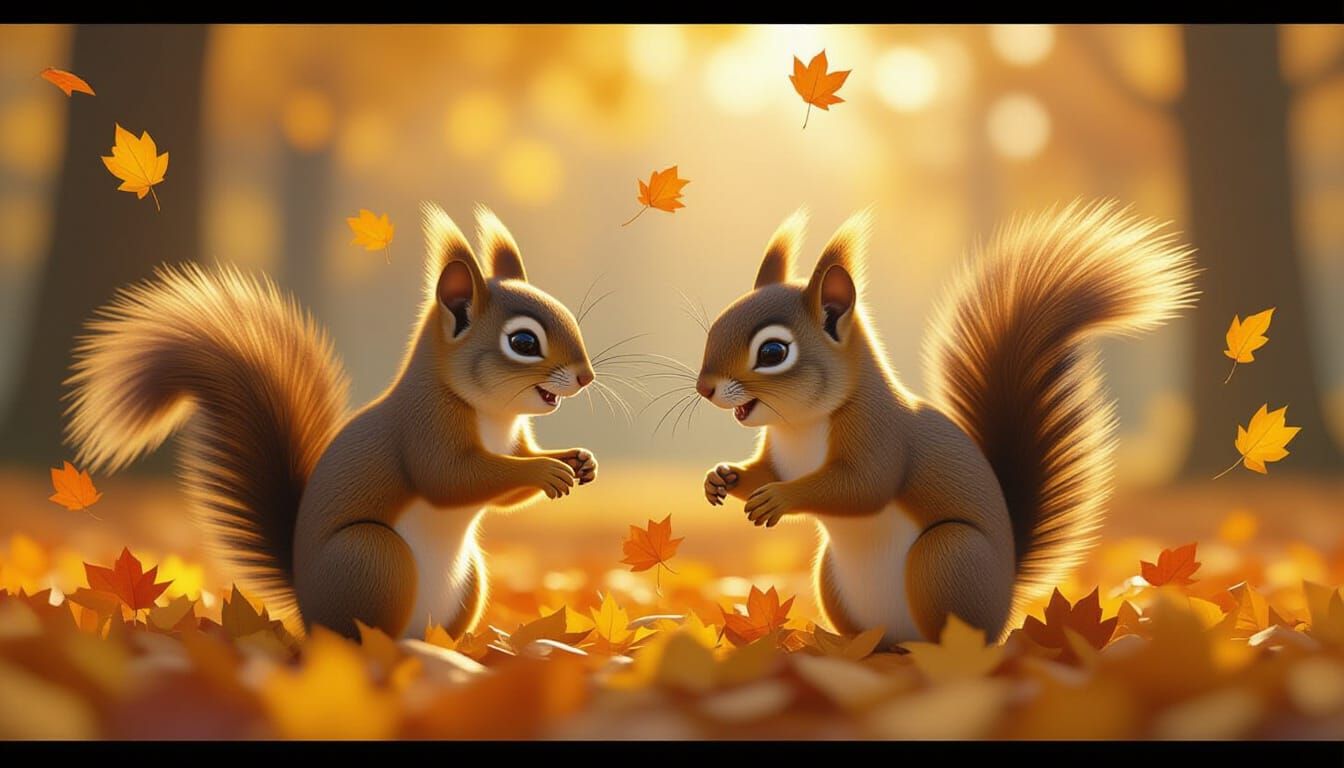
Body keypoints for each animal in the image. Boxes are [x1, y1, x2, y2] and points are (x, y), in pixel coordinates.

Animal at [63, 203, 599, 640]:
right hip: (373, 559)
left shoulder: (514, 438)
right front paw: (547, 471)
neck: (494, 415)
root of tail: (307, 610)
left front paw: (578, 460)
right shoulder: (425, 426)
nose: (586, 376)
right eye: (524, 342)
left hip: (469, 581)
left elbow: (506, 488)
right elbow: (451, 478)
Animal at [696, 200, 1197, 645]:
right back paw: (846, 646)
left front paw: (778, 498)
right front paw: (721, 477)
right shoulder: (778, 454)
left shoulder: (880, 434)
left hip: (946, 558)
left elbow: (861, 486)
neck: (801, 425)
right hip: (831, 579)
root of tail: (1004, 600)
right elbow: (764, 471)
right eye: (716, 325)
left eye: (773, 352)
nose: (704, 387)